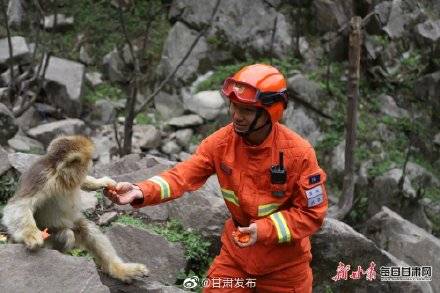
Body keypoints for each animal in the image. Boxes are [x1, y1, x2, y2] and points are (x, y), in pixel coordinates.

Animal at [0, 135, 150, 280]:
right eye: (88, 160)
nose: (91, 163)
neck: (61, 177)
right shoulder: (42, 177)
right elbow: (19, 205)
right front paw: (31, 235)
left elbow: (83, 181)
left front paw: (104, 182)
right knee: (68, 235)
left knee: (86, 230)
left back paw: (120, 269)